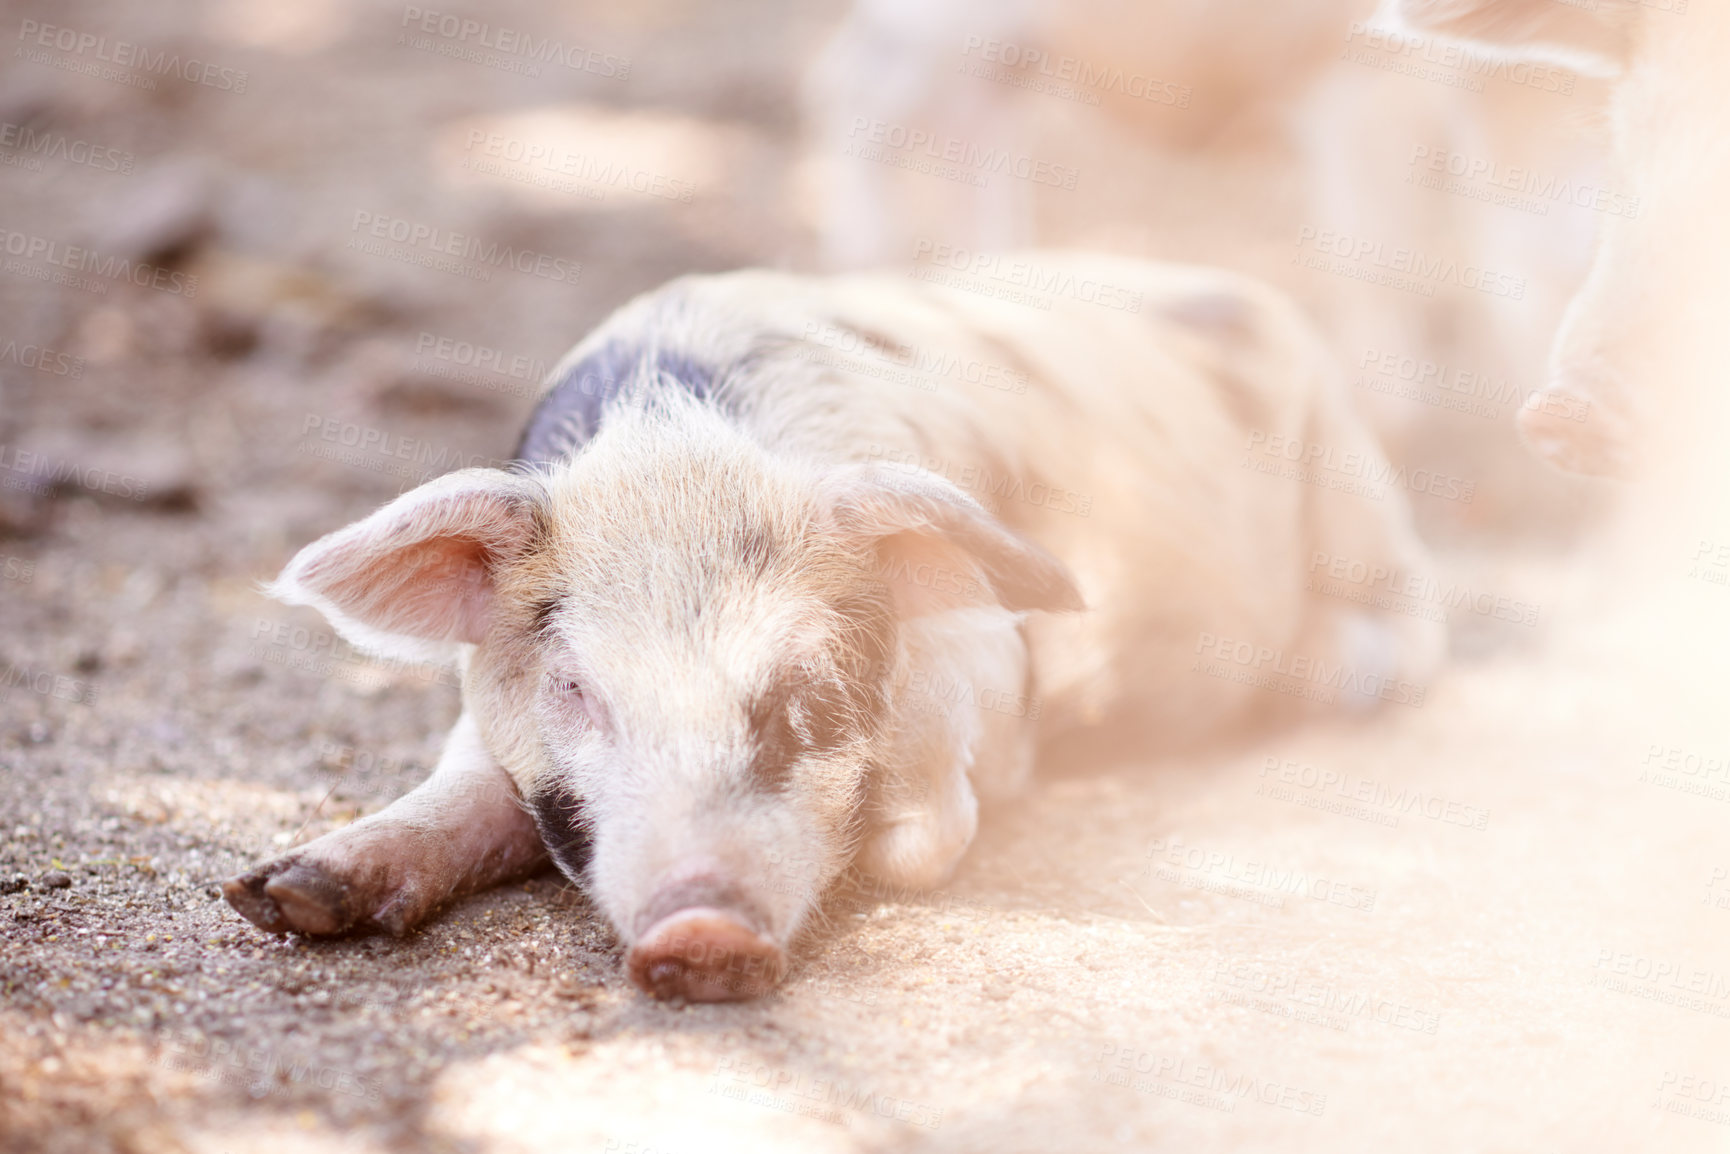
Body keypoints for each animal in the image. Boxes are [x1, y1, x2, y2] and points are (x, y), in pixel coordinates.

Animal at [224, 254, 1442, 1000]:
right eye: (576, 687)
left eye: (803, 687)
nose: (700, 924)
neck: (682, 448)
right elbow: (467, 786)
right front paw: (284, 898)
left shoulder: (991, 669)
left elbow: (930, 825)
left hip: (1361, 501)